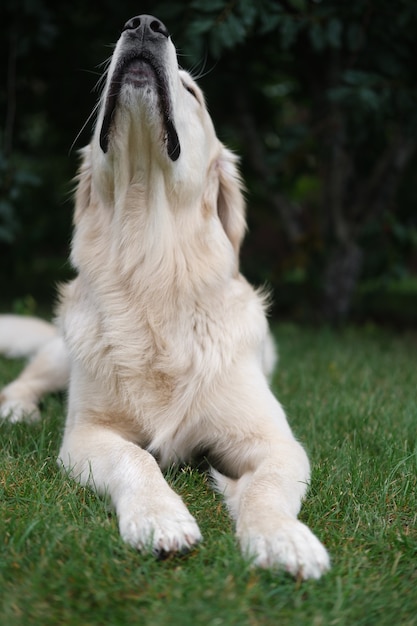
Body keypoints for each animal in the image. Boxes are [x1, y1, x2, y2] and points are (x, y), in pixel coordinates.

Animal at [1, 14, 330, 576]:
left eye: (192, 91)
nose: (143, 24)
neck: (151, 273)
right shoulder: (86, 434)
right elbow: (135, 457)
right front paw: (160, 518)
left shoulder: (276, 443)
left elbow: (265, 486)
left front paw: (282, 536)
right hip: (64, 353)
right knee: (28, 378)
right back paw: (16, 408)